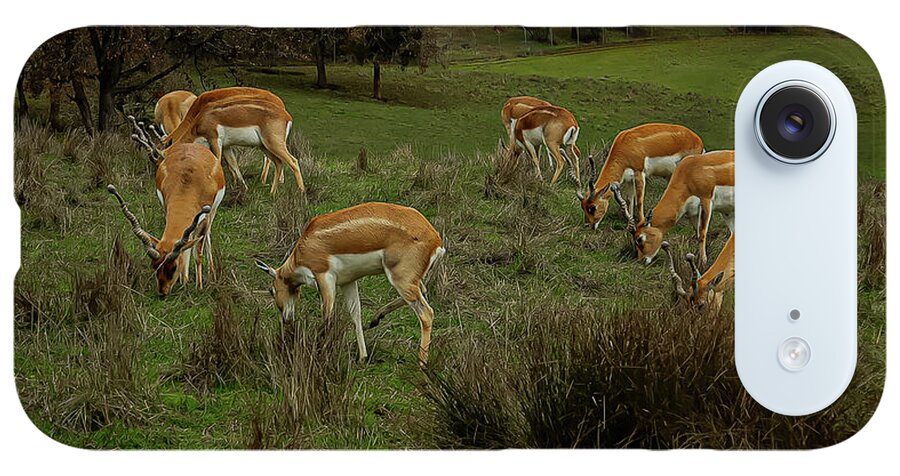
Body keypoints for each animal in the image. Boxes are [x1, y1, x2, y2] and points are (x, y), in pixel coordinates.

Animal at [109, 120, 225, 296]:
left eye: (173, 267)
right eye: (154, 265)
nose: (163, 293)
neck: (188, 183)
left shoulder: (204, 216)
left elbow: (198, 252)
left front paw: (198, 286)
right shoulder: (167, 207)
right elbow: (185, 245)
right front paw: (184, 280)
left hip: (212, 212)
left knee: (206, 236)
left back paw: (211, 271)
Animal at [162, 86, 302, 194]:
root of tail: (286, 115)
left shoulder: (215, 140)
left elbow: (218, 163)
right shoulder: (226, 146)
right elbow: (233, 164)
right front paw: (242, 187)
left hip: (273, 144)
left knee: (292, 161)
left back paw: (300, 192)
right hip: (265, 145)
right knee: (278, 161)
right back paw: (273, 190)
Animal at [254, 202, 446, 367]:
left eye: (271, 290)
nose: (286, 319)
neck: (304, 247)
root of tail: (435, 239)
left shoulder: (324, 277)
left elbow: (327, 315)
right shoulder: (348, 282)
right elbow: (355, 314)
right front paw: (362, 357)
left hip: (400, 279)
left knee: (426, 313)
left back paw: (421, 363)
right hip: (409, 280)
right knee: (423, 291)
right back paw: (376, 319)